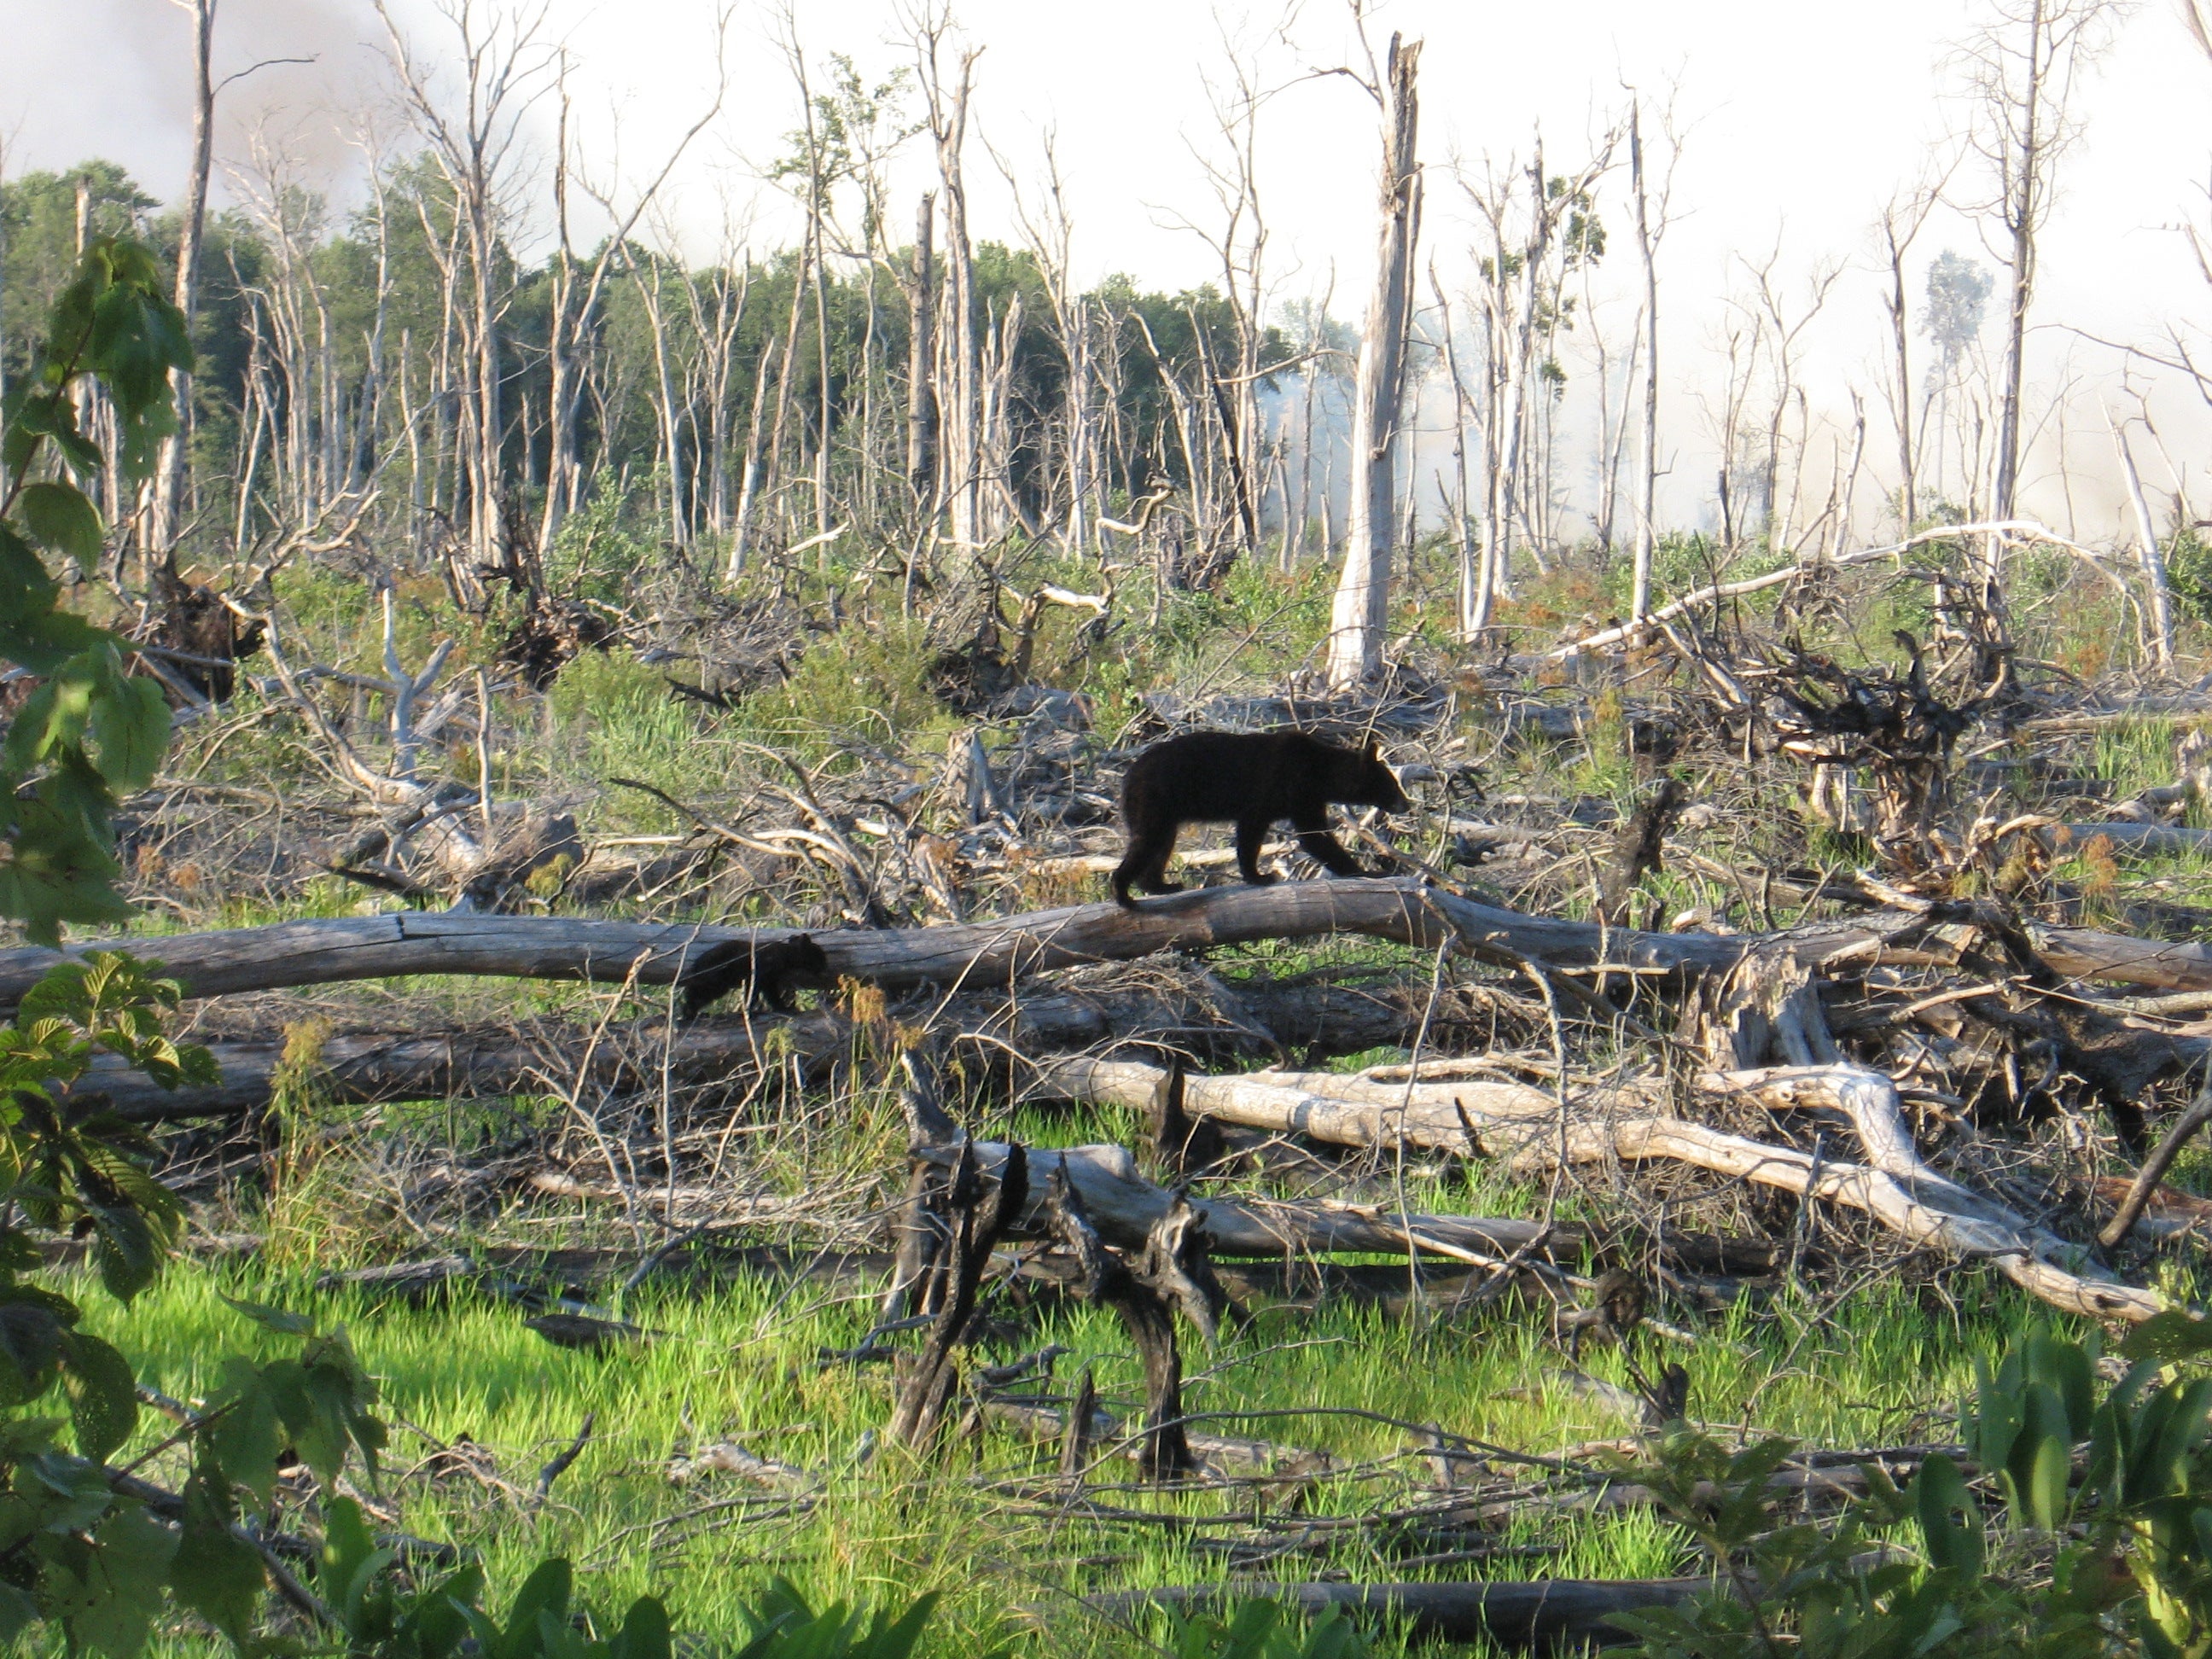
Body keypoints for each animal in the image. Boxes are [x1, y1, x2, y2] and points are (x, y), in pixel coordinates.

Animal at [672, 938, 831, 1026]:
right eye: (820, 957)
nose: (825, 968)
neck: (786, 956)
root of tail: (697, 963)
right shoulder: (758, 975)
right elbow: (754, 994)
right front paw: (750, 1012)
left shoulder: (770, 980)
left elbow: (771, 996)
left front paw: (783, 1008)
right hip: (715, 982)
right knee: (695, 994)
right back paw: (689, 1014)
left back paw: (690, 1015)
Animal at [1115, 730, 1406, 911]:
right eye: (1391, 785)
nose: (1406, 802)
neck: (1320, 773)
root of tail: (1129, 774)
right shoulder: (1287, 785)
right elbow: (1307, 835)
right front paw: (1368, 871)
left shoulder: (1303, 798)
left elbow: (1295, 833)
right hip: (1154, 798)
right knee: (1148, 840)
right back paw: (1124, 894)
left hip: (1165, 810)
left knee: (1162, 843)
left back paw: (1162, 885)